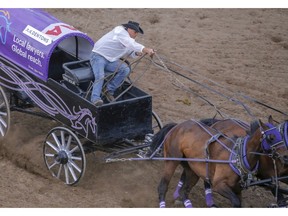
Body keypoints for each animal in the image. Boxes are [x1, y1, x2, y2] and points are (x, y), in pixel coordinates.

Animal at [151, 118, 284, 208]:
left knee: (185, 190)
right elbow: (235, 202)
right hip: (172, 160)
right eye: (271, 137)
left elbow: (239, 203)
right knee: (163, 186)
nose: (285, 156)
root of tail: (178, 125)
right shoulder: (219, 185)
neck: (239, 155)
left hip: (192, 169)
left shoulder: (237, 190)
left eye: (281, 135)